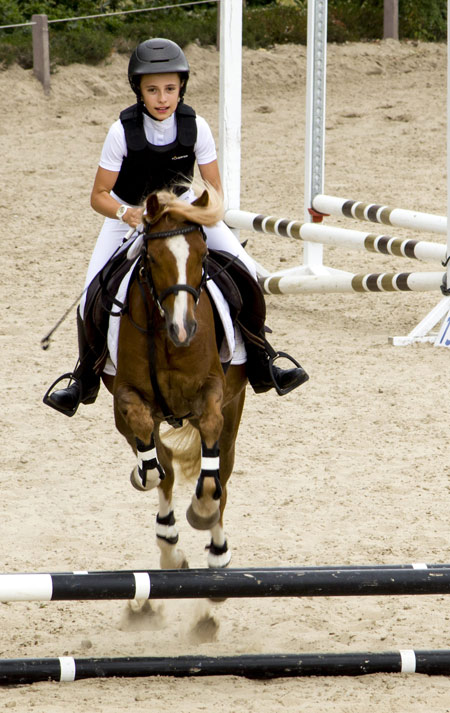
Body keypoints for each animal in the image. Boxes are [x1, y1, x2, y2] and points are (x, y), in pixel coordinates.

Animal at [103, 187, 247, 571]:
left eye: (203, 255)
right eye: (152, 259)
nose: (184, 330)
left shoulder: (214, 390)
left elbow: (210, 437)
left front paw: (203, 508)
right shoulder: (125, 396)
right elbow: (157, 465)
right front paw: (144, 476)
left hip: (234, 408)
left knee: (222, 467)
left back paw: (217, 547)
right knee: (161, 462)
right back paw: (168, 544)